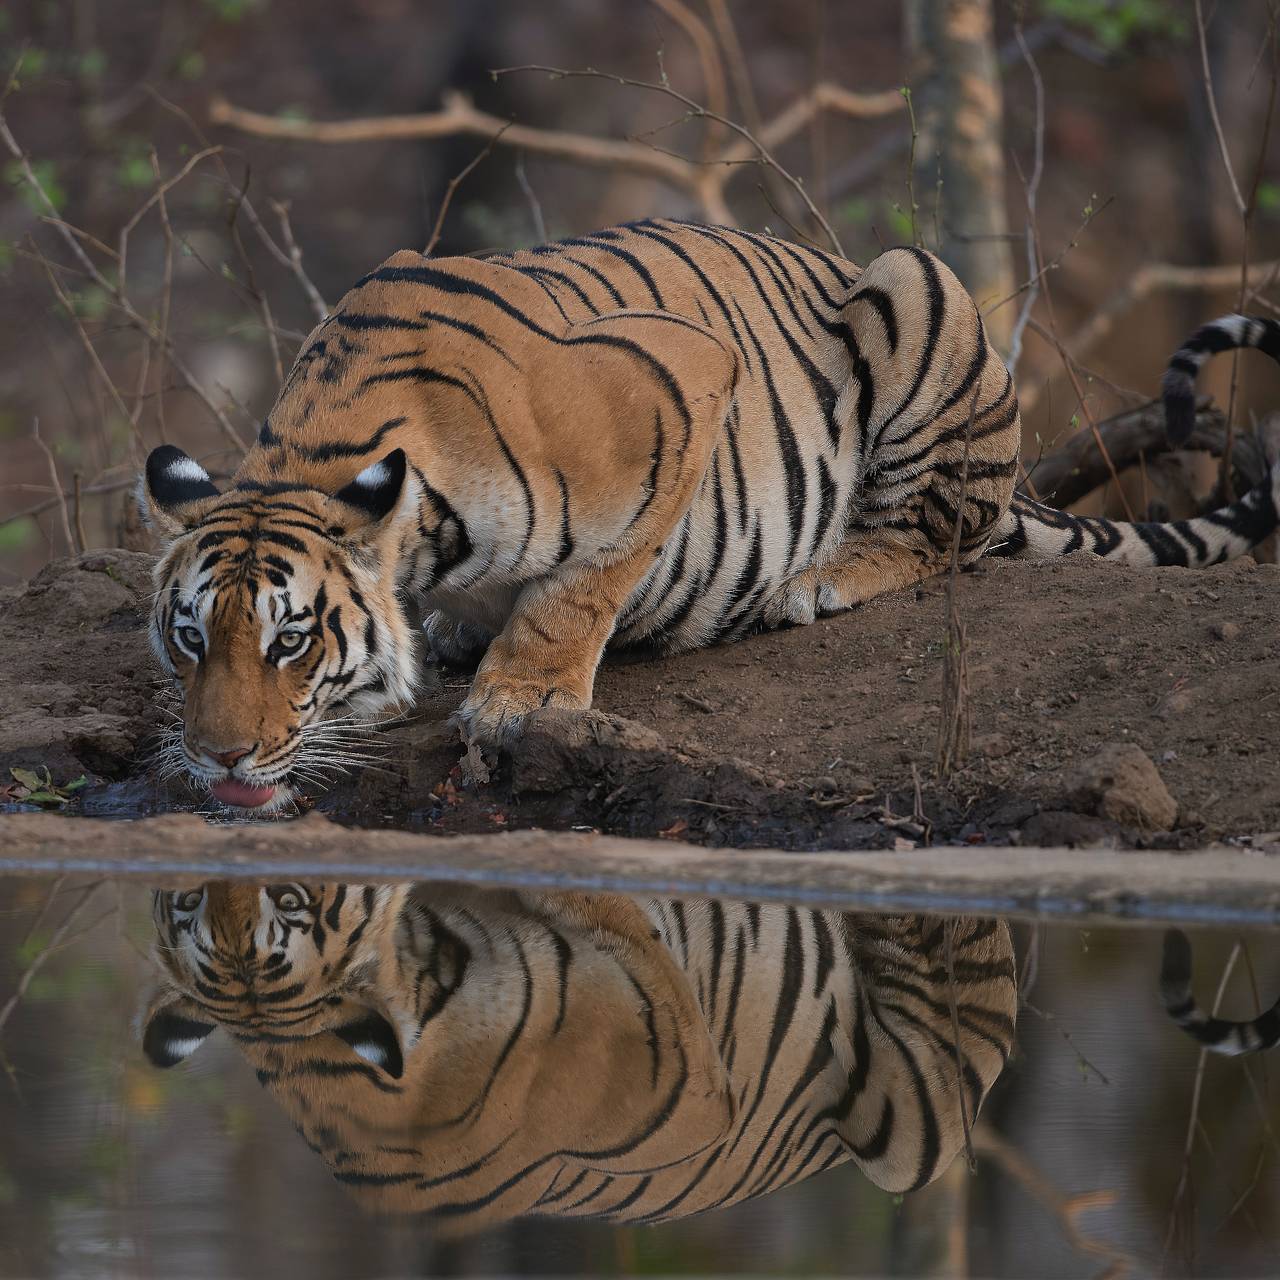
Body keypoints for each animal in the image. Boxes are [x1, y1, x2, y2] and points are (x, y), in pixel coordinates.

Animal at [140, 213, 1280, 803]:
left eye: (290, 641)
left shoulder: (679, 382)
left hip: (915, 287)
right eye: (191, 639)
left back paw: (821, 578)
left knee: (938, 530)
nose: (217, 758)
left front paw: (521, 696)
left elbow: (582, 586)